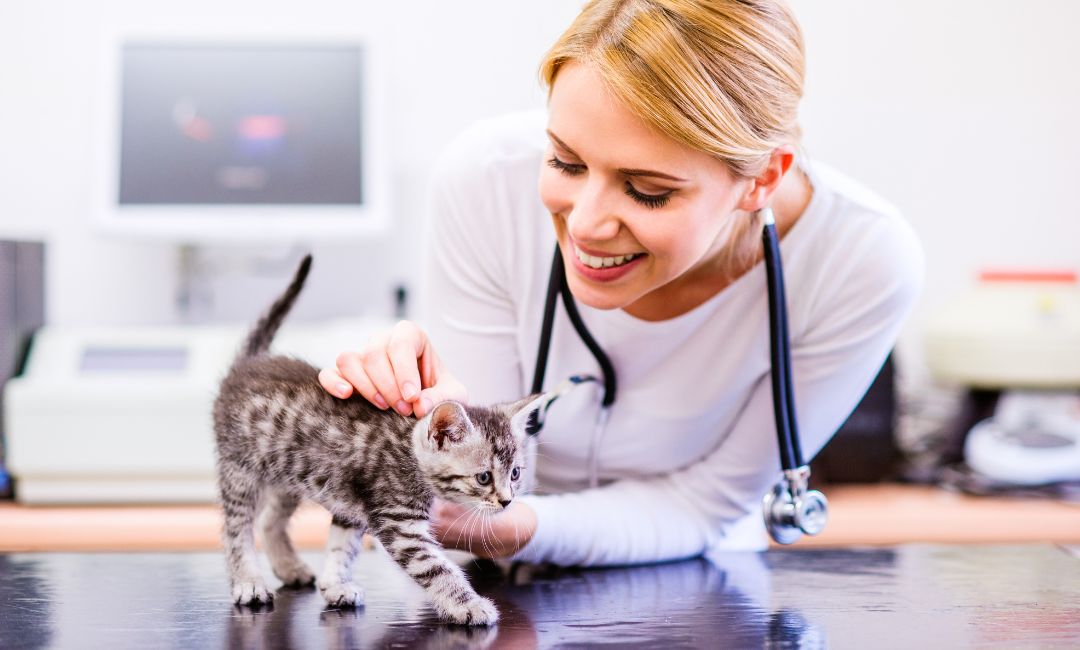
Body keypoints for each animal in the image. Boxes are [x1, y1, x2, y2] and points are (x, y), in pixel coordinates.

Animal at [212, 255, 540, 626]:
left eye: (515, 473)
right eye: (483, 477)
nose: (507, 501)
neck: (408, 453)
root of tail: (247, 364)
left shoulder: (353, 507)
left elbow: (343, 545)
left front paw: (335, 583)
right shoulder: (399, 523)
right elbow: (437, 568)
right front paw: (469, 605)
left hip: (288, 474)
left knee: (270, 520)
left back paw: (288, 566)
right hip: (240, 468)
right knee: (235, 528)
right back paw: (248, 581)